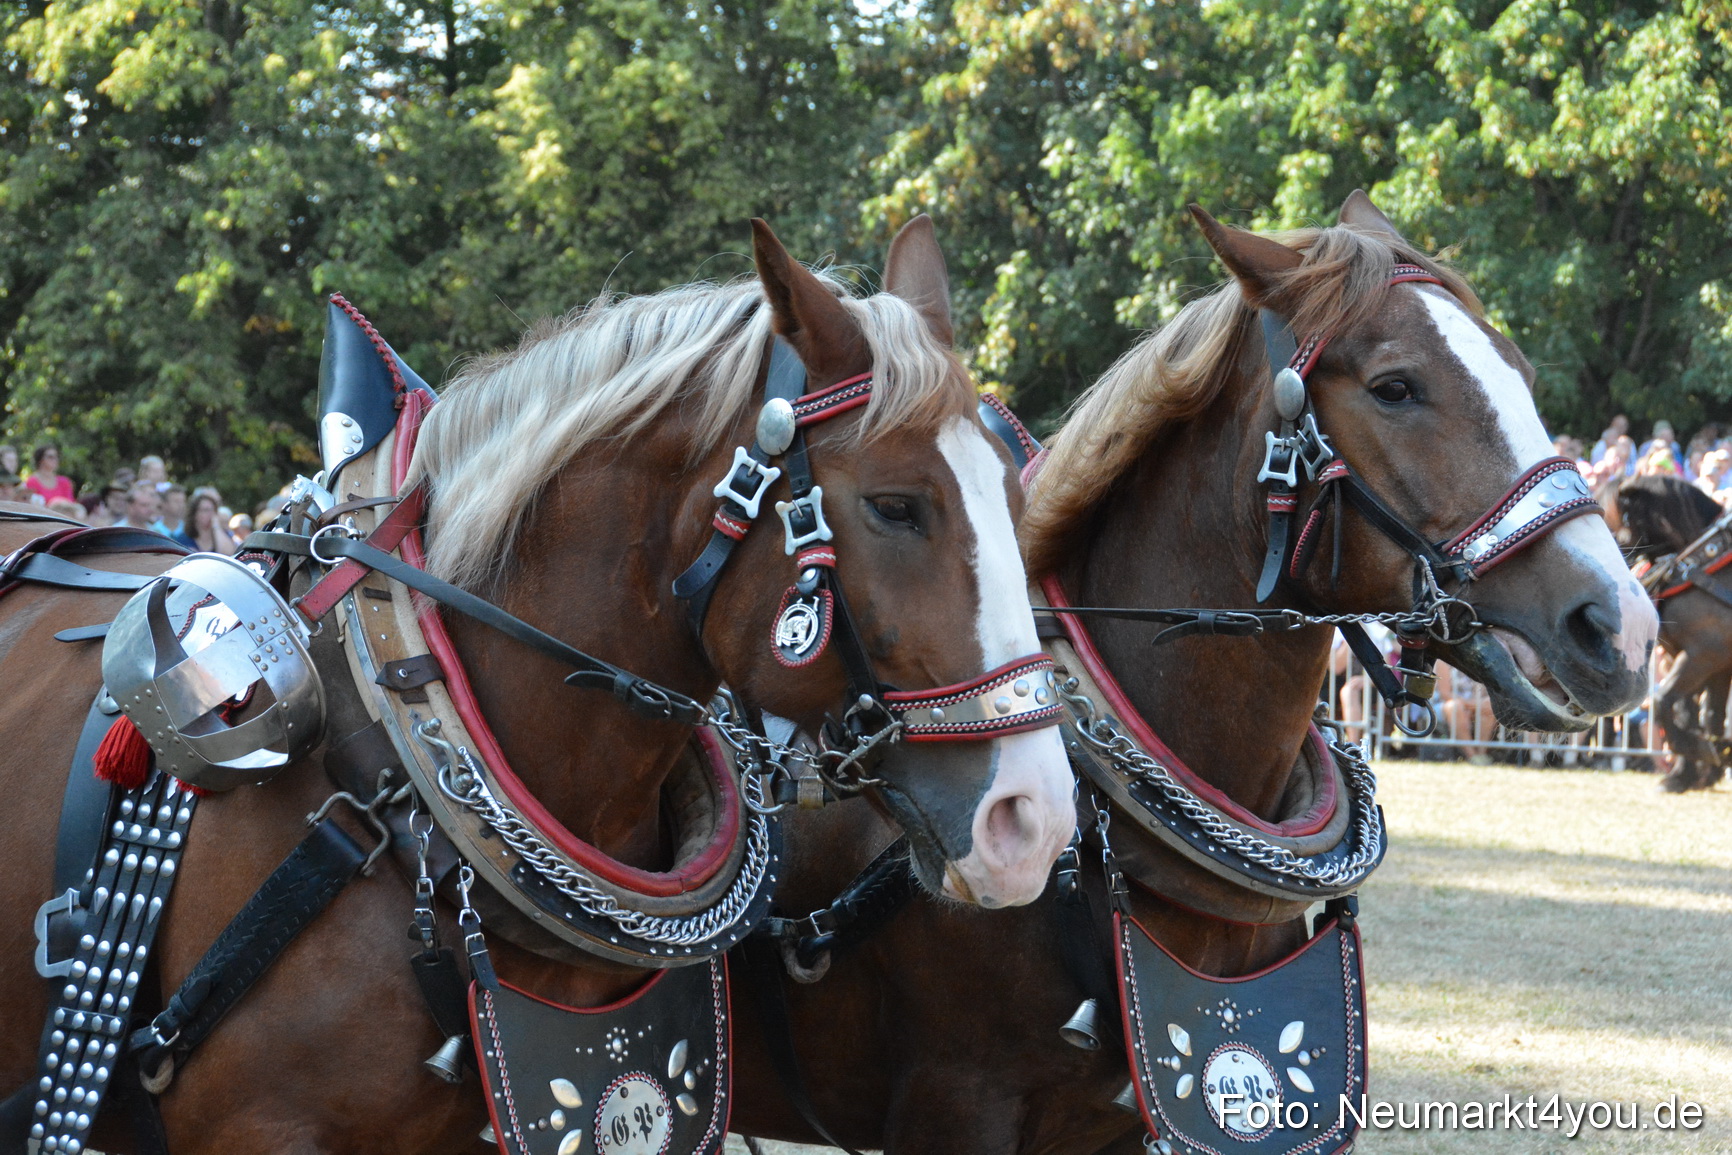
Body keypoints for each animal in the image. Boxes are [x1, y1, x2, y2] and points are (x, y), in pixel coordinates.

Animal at [1617, 473, 1732, 791]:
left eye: (1627, 517)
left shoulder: (1704, 656)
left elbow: (1662, 702)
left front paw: (1699, 751)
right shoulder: (1711, 663)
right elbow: (1696, 714)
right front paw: (1689, 772)